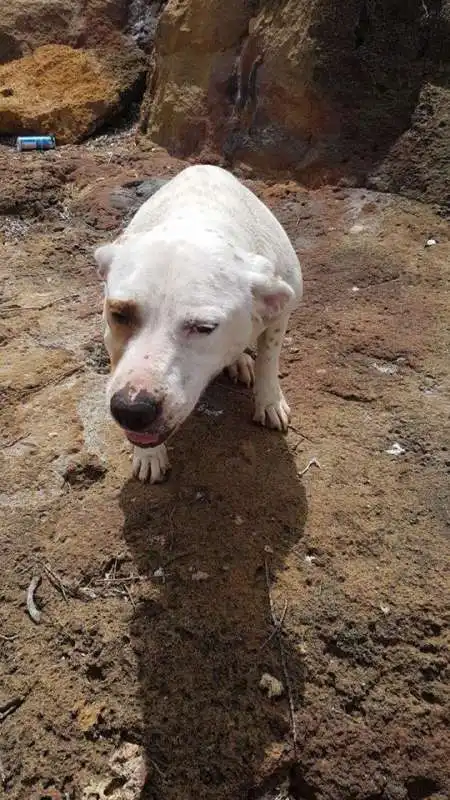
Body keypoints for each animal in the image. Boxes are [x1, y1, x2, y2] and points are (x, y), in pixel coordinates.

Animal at [96, 164, 304, 482]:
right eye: (119, 315)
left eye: (204, 328)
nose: (132, 410)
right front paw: (148, 455)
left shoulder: (283, 308)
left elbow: (269, 358)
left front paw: (269, 401)